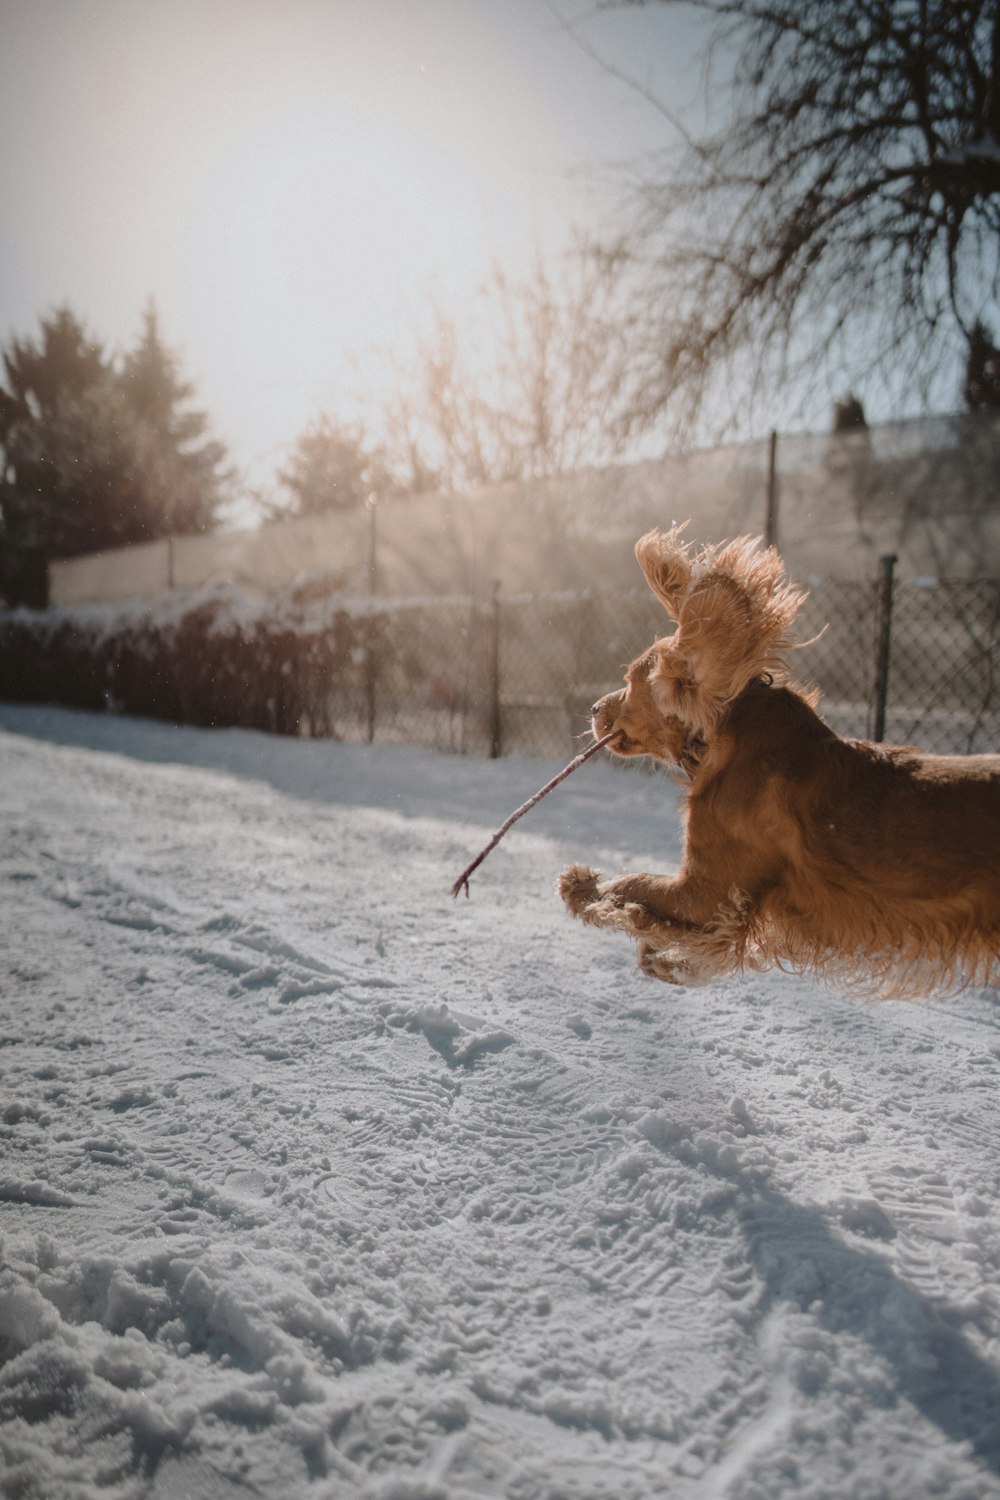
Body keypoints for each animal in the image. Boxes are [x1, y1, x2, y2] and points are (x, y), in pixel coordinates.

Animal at [560, 528, 1000, 996]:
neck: (724, 731)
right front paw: (660, 954)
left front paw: (582, 888)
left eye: (629, 682)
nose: (593, 709)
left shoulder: (705, 891)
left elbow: (633, 883)